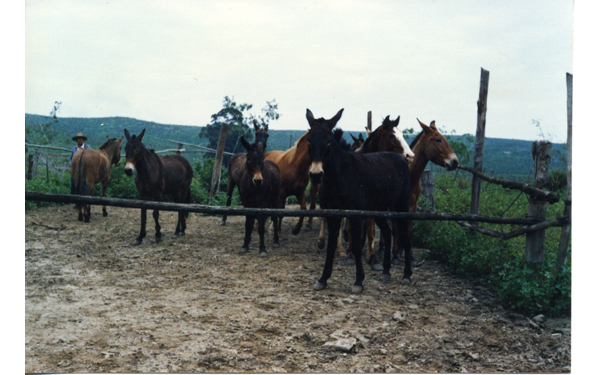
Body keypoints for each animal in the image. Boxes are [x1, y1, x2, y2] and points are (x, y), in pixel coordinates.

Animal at [304, 108, 412, 294]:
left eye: (329, 141)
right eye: (309, 139)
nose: (316, 174)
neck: (340, 175)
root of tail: (400, 159)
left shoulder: (355, 216)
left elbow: (356, 245)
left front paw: (358, 281)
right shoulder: (333, 215)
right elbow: (331, 246)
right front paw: (323, 279)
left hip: (401, 205)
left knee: (405, 233)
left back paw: (406, 275)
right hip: (378, 209)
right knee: (387, 232)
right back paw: (386, 271)